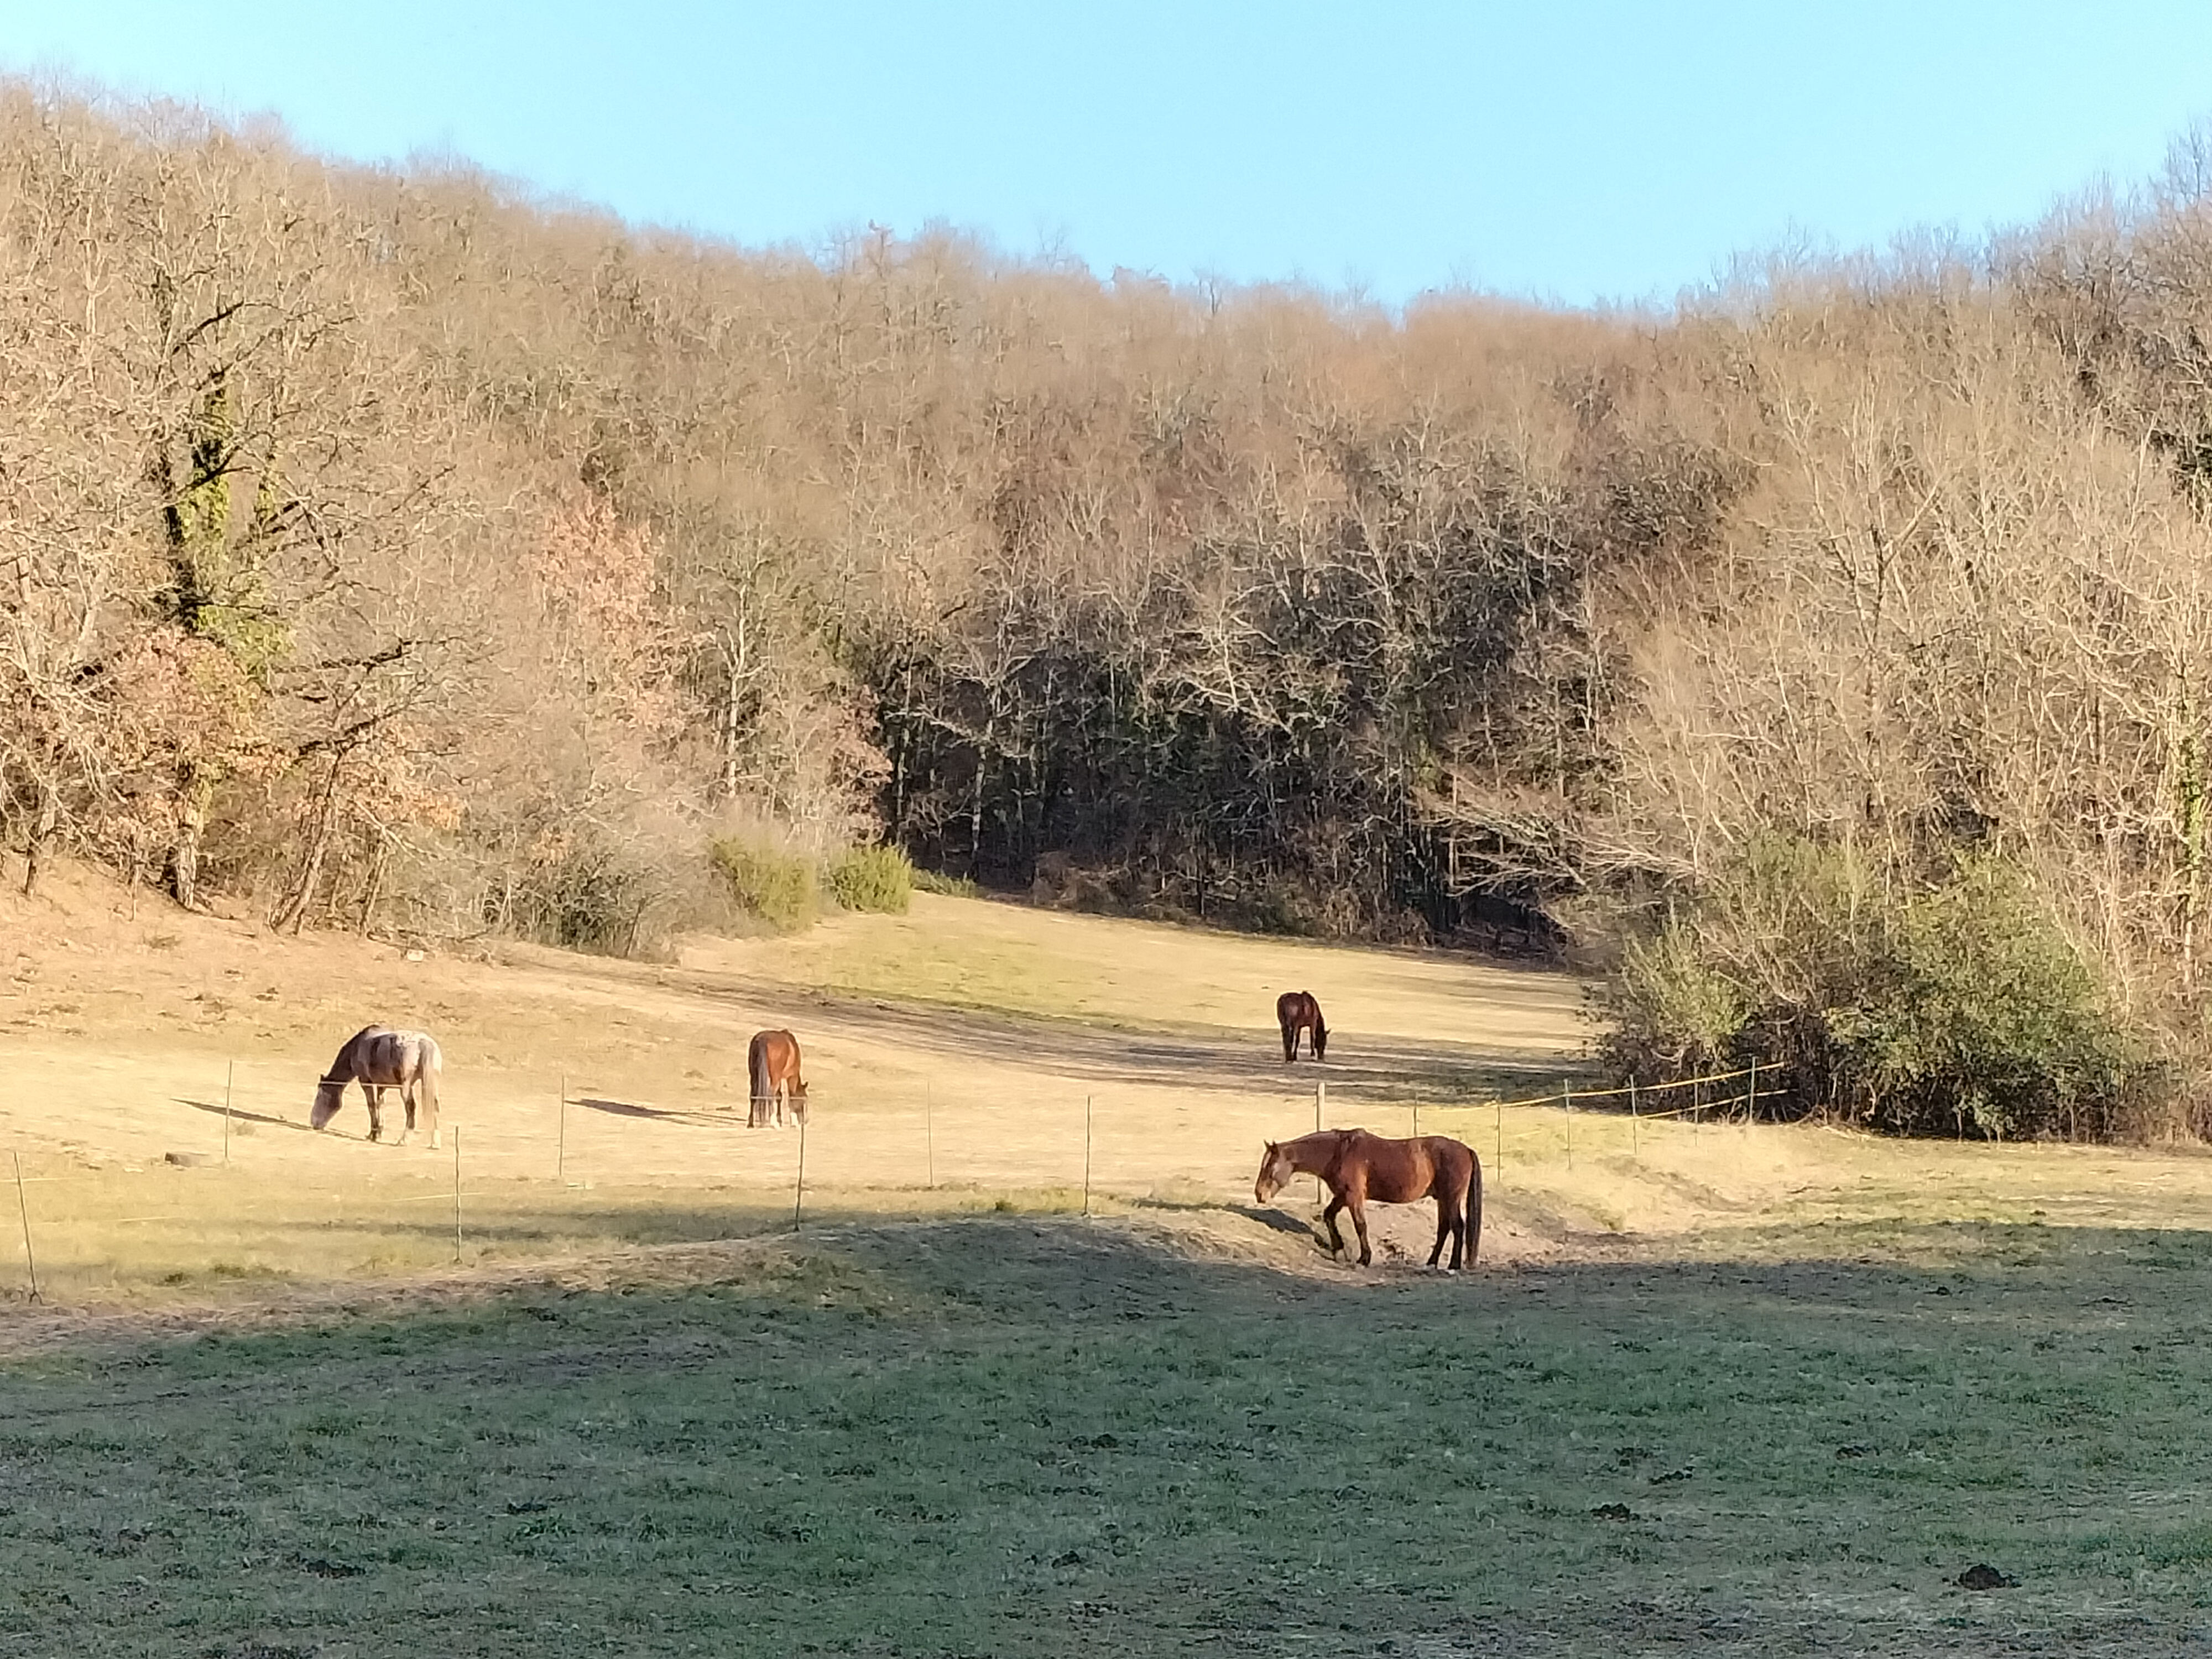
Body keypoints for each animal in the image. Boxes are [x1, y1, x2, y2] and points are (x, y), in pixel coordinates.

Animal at [310, 1035, 442, 1150]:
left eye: (319, 1097)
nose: (314, 1123)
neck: (357, 1047)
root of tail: (423, 1043)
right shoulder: (381, 1085)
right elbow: (380, 1105)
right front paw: (378, 1133)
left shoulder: (365, 1082)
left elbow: (371, 1106)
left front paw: (373, 1134)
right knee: (435, 1107)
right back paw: (435, 1143)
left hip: (406, 1087)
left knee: (411, 1108)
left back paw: (403, 1140)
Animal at [748, 1035, 810, 1141]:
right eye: (804, 1100)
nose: (804, 1121)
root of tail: (762, 1040)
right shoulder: (791, 1077)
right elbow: (790, 1097)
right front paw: (793, 1123)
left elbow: (779, 1097)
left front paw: (780, 1119)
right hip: (774, 1078)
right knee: (770, 1095)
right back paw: (774, 1124)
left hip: (754, 1076)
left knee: (753, 1096)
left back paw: (751, 1124)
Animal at [1256, 1133, 1478, 1274]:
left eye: (1271, 1166)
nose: (1259, 1194)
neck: (1339, 1152)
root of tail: (1466, 1150)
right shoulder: (1342, 1196)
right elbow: (1329, 1216)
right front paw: (1339, 1250)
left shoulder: (1353, 1197)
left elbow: (1360, 1225)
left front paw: (1364, 1259)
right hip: (1443, 1200)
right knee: (1444, 1229)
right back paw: (1431, 1264)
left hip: (1451, 1198)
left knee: (1458, 1227)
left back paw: (1454, 1265)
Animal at [1283, 987, 1327, 1066]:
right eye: (1323, 1042)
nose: (1321, 1057)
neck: (1313, 1006)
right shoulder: (1313, 1024)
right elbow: (1312, 1038)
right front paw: (1313, 1056)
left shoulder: (1300, 1027)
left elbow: (1298, 1041)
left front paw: (1295, 1056)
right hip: (1292, 1026)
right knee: (1289, 1038)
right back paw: (1289, 1058)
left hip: (1284, 1024)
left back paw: (1287, 1057)